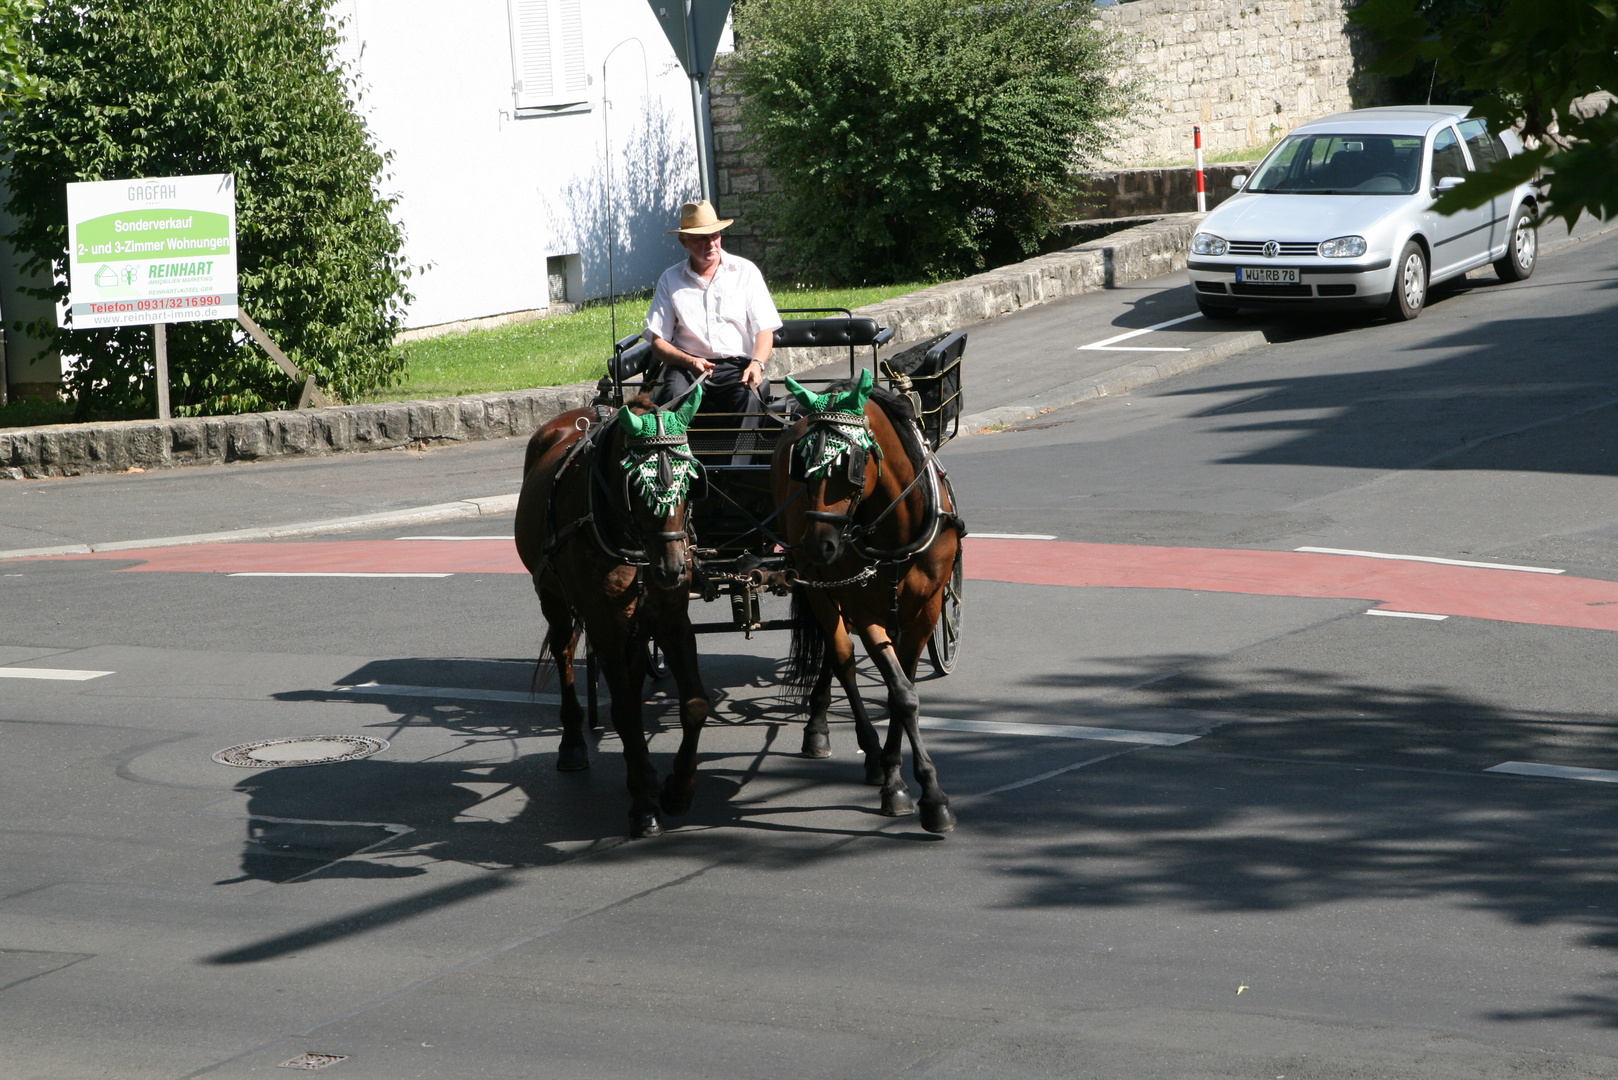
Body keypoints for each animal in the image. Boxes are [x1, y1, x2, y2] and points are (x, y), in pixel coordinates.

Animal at [514, 388, 711, 835]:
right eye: (638, 485)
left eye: (691, 482)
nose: (672, 569)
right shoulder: (603, 623)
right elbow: (623, 712)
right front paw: (643, 805)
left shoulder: (672, 619)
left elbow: (694, 705)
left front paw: (677, 791)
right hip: (553, 596)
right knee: (564, 652)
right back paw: (572, 743)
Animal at [770, 372, 957, 835]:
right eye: (801, 464)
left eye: (847, 463)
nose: (819, 546)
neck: (897, 529)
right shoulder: (866, 610)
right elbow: (900, 692)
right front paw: (911, 788)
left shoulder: (925, 610)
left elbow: (902, 692)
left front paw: (908, 781)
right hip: (819, 587)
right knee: (841, 656)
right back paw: (857, 746)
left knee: (834, 649)